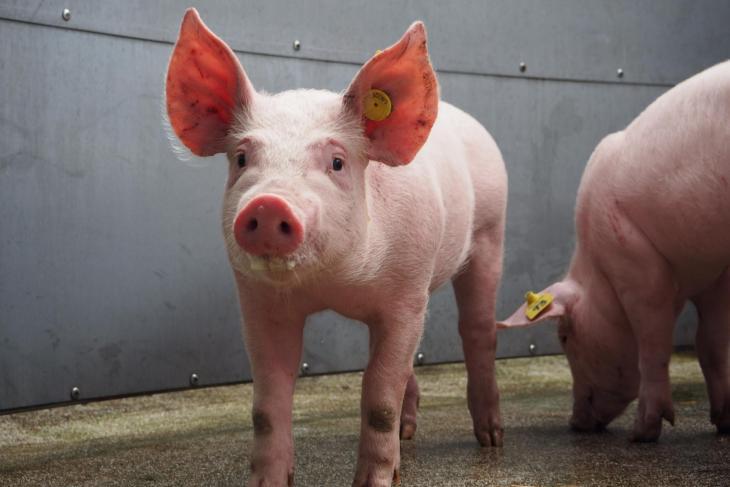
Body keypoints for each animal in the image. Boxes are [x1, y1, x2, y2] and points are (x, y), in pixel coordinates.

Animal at [165, 8, 507, 486]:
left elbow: (379, 398)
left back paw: (491, 440)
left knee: (477, 329)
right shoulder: (260, 302)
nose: (268, 204)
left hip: (491, 230)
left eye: (338, 162)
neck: (332, 286)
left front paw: (374, 482)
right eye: (242, 159)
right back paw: (408, 434)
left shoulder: (406, 294)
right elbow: (267, 406)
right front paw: (270, 481)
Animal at [499, 61, 730, 442]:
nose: (575, 423)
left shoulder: (635, 262)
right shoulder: (716, 276)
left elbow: (653, 343)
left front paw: (641, 434)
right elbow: (710, 344)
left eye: (564, 336)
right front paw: (724, 424)